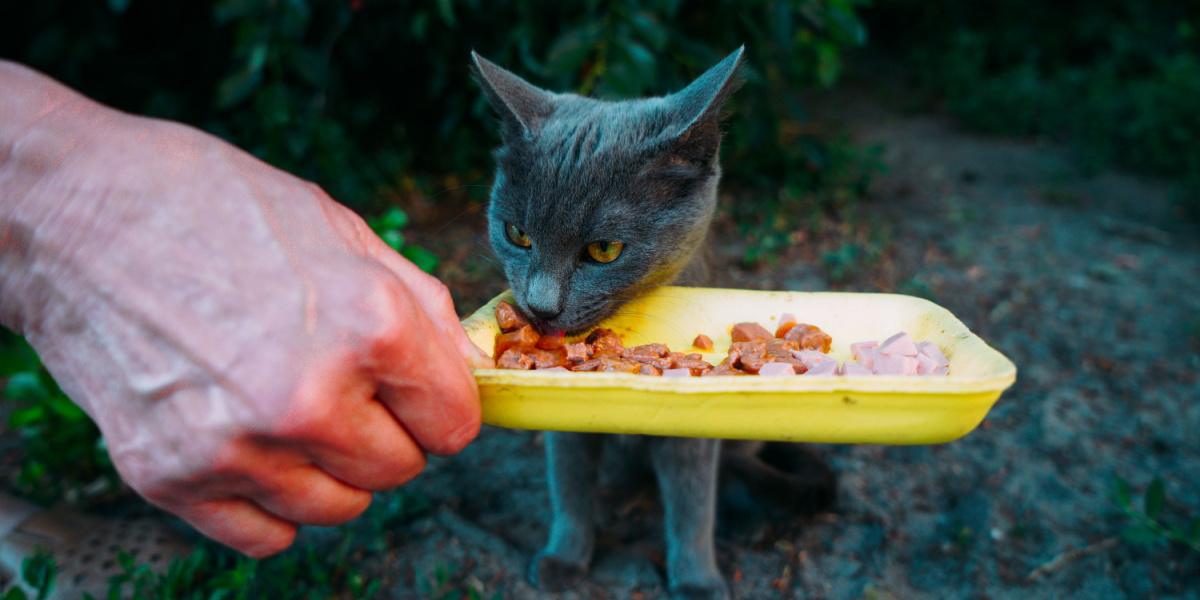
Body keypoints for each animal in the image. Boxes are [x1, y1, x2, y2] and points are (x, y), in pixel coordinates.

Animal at [472, 49, 830, 597]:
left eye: (604, 249)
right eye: (517, 234)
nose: (540, 306)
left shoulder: (692, 431)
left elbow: (691, 503)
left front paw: (698, 581)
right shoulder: (565, 424)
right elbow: (569, 485)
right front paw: (564, 558)